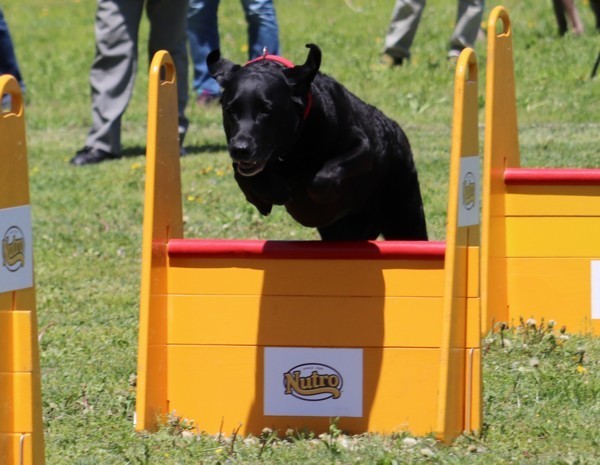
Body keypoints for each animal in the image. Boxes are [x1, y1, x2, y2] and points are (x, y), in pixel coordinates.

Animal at [206, 44, 426, 241]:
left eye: (267, 110)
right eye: (230, 110)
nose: (240, 149)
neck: (293, 151)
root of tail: (398, 133)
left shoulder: (363, 147)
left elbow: (321, 179)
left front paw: (322, 198)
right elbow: (241, 174)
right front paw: (269, 194)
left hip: (405, 219)